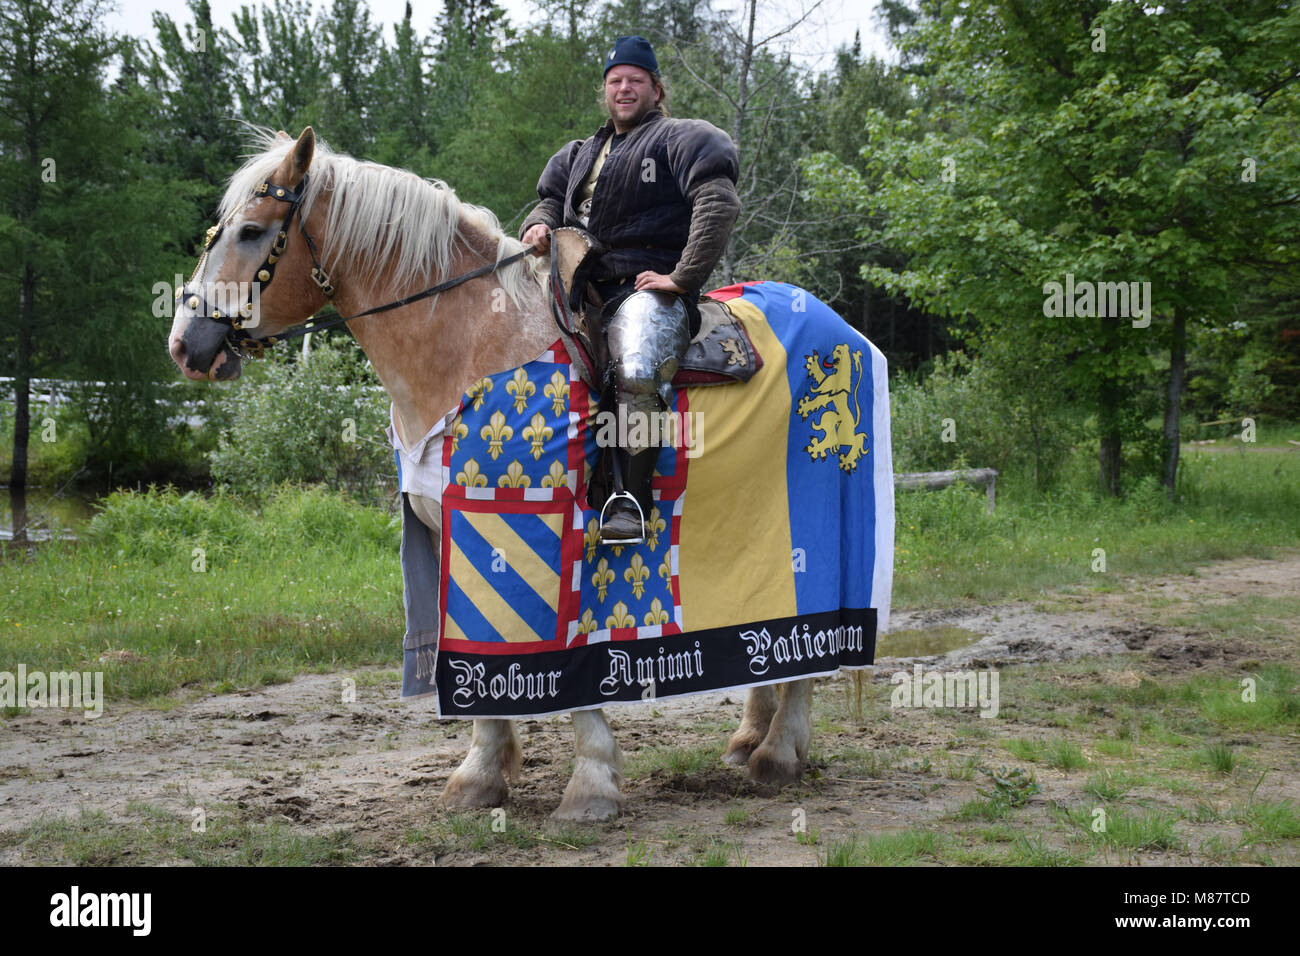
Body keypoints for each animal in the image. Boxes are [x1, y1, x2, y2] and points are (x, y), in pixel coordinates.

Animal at [167, 123, 826, 816]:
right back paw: (749, 737)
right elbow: (472, 643)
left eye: (251, 232)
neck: (469, 344)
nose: (185, 344)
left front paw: (591, 783)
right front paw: (480, 773)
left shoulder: (548, 530)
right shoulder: (452, 526)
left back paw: (780, 751)